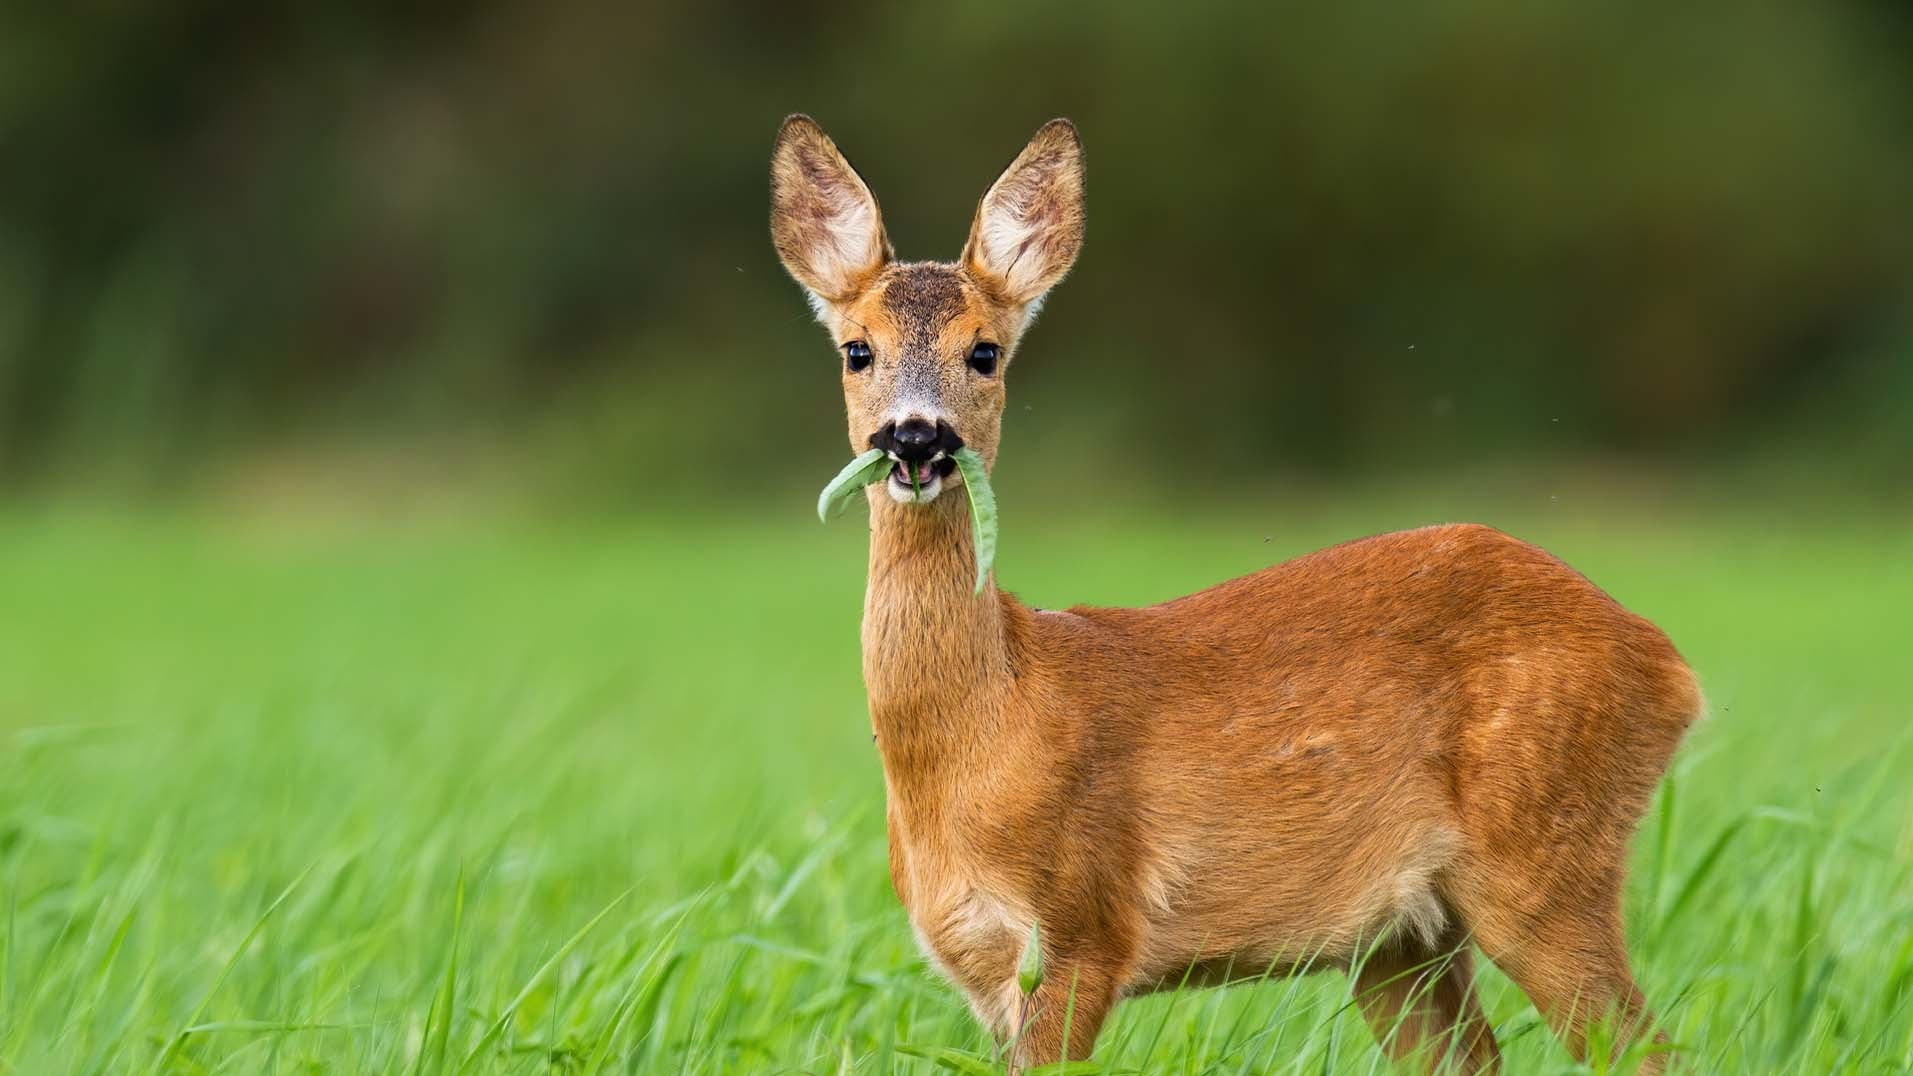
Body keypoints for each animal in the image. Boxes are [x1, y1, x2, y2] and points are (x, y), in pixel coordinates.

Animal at [768, 114, 1703, 1074]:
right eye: (857, 350)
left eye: (983, 352)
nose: (915, 437)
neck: (984, 732)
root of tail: (1667, 663)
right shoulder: (984, 972)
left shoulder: (1083, 928)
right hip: (1401, 934)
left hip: (1544, 854)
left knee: (1648, 1047)